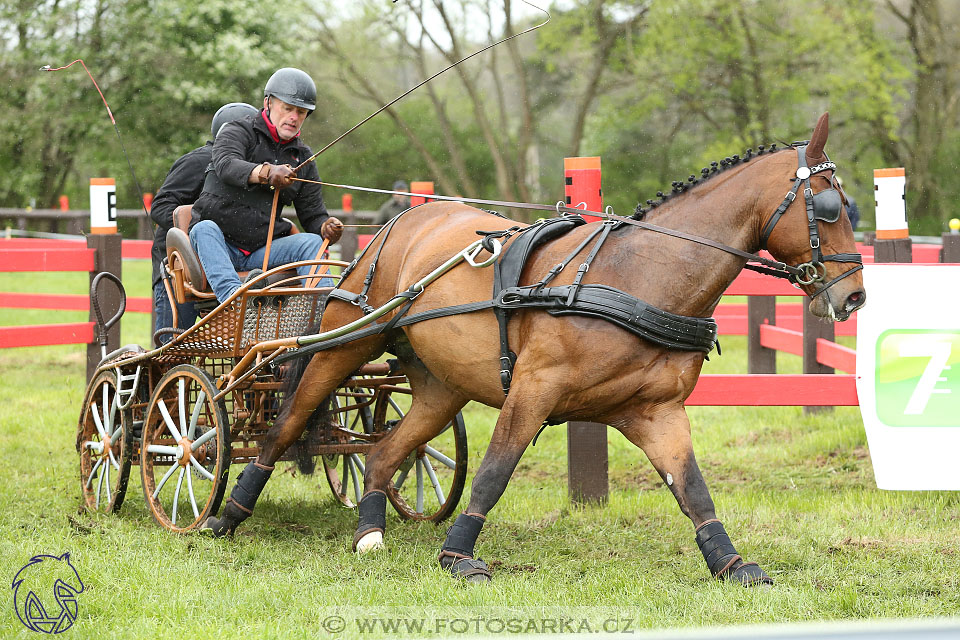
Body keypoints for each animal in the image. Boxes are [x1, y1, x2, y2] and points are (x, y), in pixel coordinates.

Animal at [202, 114, 864, 584]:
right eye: (831, 206)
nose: (853, 295)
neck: (635, 277)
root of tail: (400, 222)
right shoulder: (534, 390)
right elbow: (496, 470)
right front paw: (458, 554)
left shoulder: (656, 411)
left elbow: (693, 489)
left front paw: (730, 562)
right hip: (346, 345)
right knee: (284, 425)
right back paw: (225, 513)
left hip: (441, 388)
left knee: (386, 450)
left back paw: (369, 530)